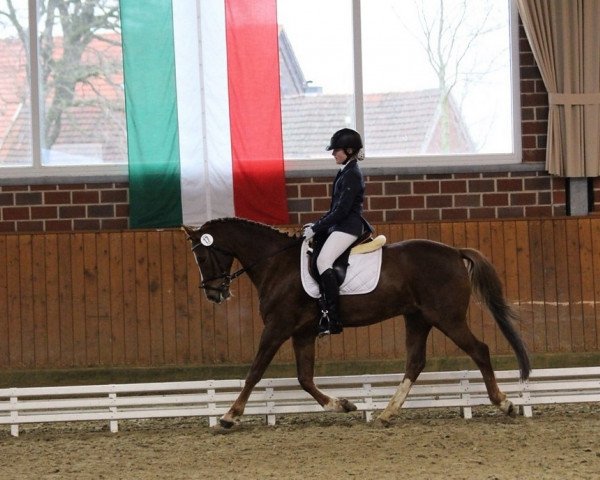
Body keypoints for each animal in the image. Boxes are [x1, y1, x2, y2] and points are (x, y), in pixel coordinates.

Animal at [183, 218, 528, 428]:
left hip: (447, 317)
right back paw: (387, 413)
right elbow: (304, 378)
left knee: (479, 350)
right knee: (415, 362)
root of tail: (455, 252)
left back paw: (505, 404)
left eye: (202, 257)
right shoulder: (302, 331)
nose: (214, 293)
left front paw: (229, 416)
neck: (276, 264)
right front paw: (343, 405)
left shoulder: (278, 327)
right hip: (417, 318)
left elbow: (255, 372)